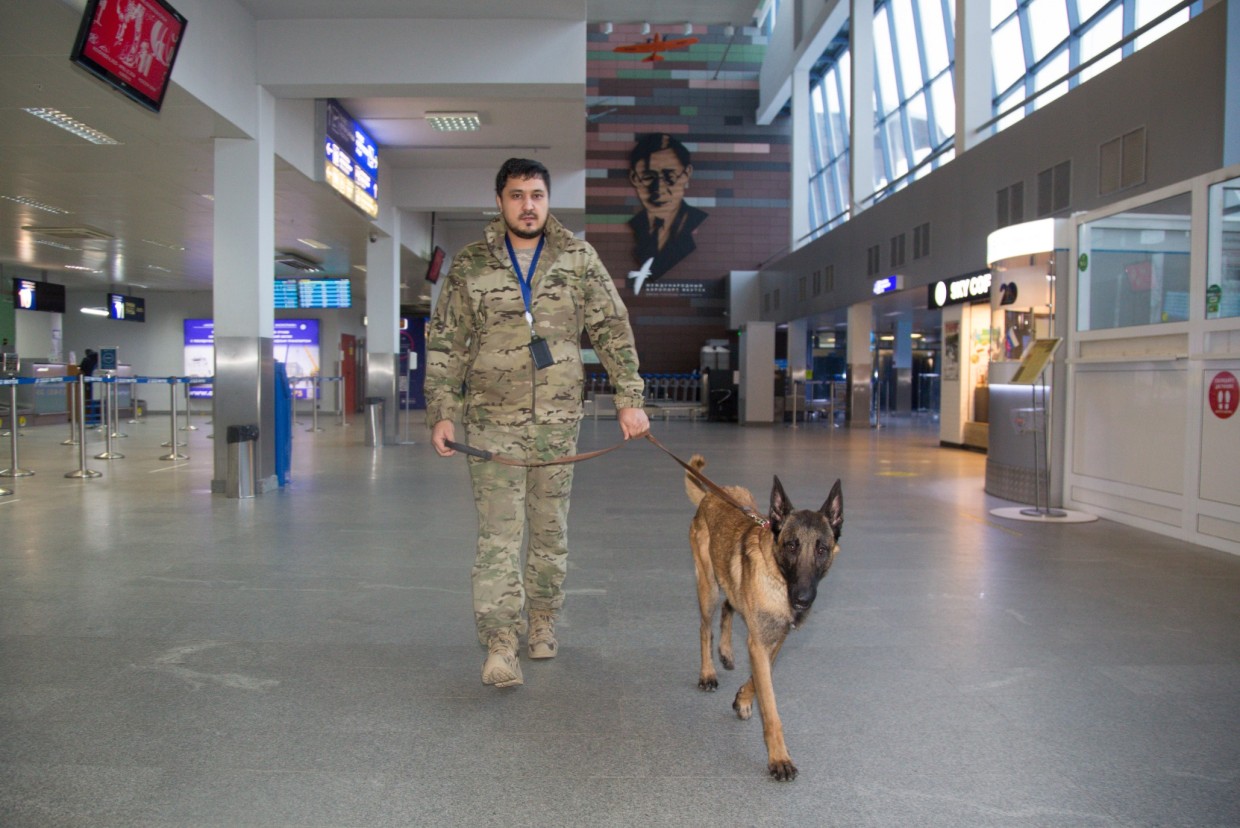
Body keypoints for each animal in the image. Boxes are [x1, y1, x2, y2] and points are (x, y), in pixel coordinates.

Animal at [684, 454, 843, 781]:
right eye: (792, 545)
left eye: (822, 549)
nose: (803, 600)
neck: (779, 579)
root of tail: (711, 495)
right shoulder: (759, 642)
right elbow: (769, 705)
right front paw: (779, 758)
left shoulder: (774, 640)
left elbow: (759, 680)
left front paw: (743, 699)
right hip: (708, 587)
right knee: (705, 628)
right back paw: (708, 672)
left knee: (729, 607)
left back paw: (726, 652)